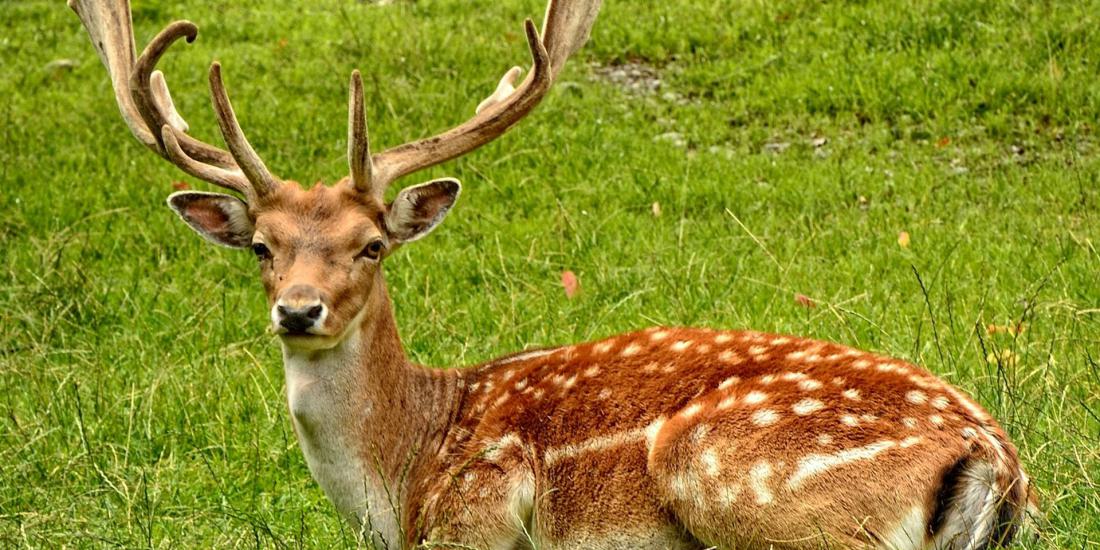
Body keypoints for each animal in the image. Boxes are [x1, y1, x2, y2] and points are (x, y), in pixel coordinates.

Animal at [70, 0, 1038, 547]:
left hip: (737, 478)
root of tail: (995, 461)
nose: (300, 311)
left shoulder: (476, 516)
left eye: (371, 244)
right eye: (263, 247)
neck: (402, 475)